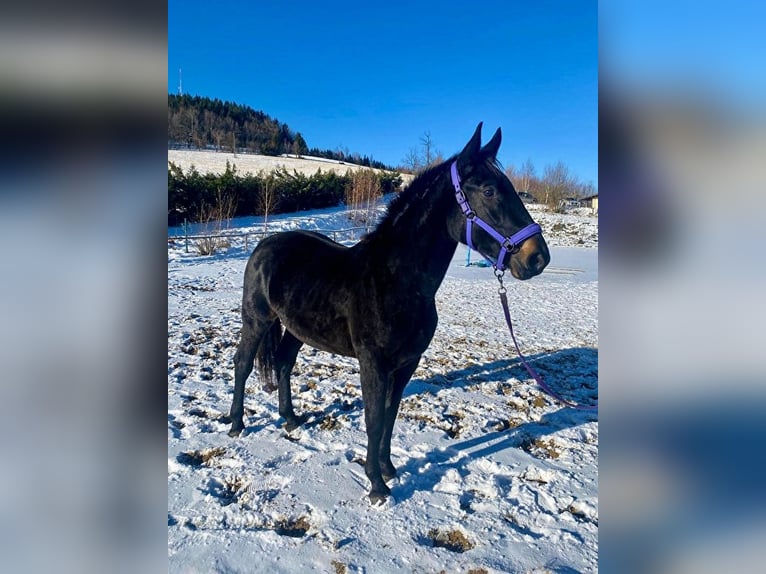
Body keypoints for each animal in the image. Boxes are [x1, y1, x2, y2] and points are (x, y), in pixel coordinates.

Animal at [228, 122, 552, 504]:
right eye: (489, 191)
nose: (537, 258)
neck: (396, 279)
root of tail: (264, 245)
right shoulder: (373, 363)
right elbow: (373, 418)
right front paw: (377, 486)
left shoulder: (406, 363)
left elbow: (390, 414)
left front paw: (388, 469)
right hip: (257, 320)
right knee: (243, 364)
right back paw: (236, 425)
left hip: (295, 329)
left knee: (283, 363)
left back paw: (290, 419)